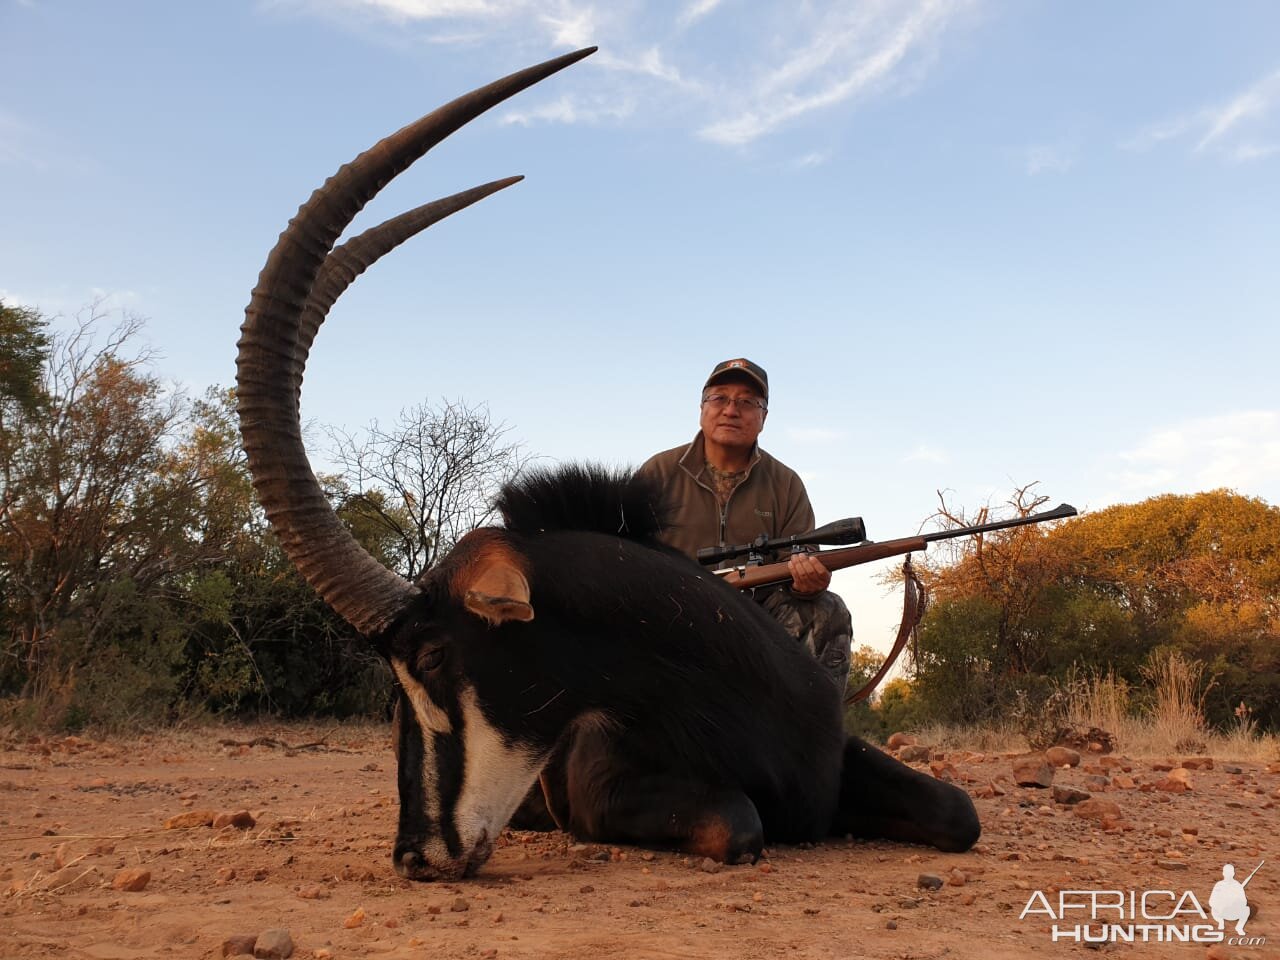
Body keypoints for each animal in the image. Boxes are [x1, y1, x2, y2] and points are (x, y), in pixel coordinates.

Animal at [240, 48, 977, 885]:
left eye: (430, 654)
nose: (415, 857)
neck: (733, 689)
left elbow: (962, 811)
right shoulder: (601, 797)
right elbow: (740, 820)